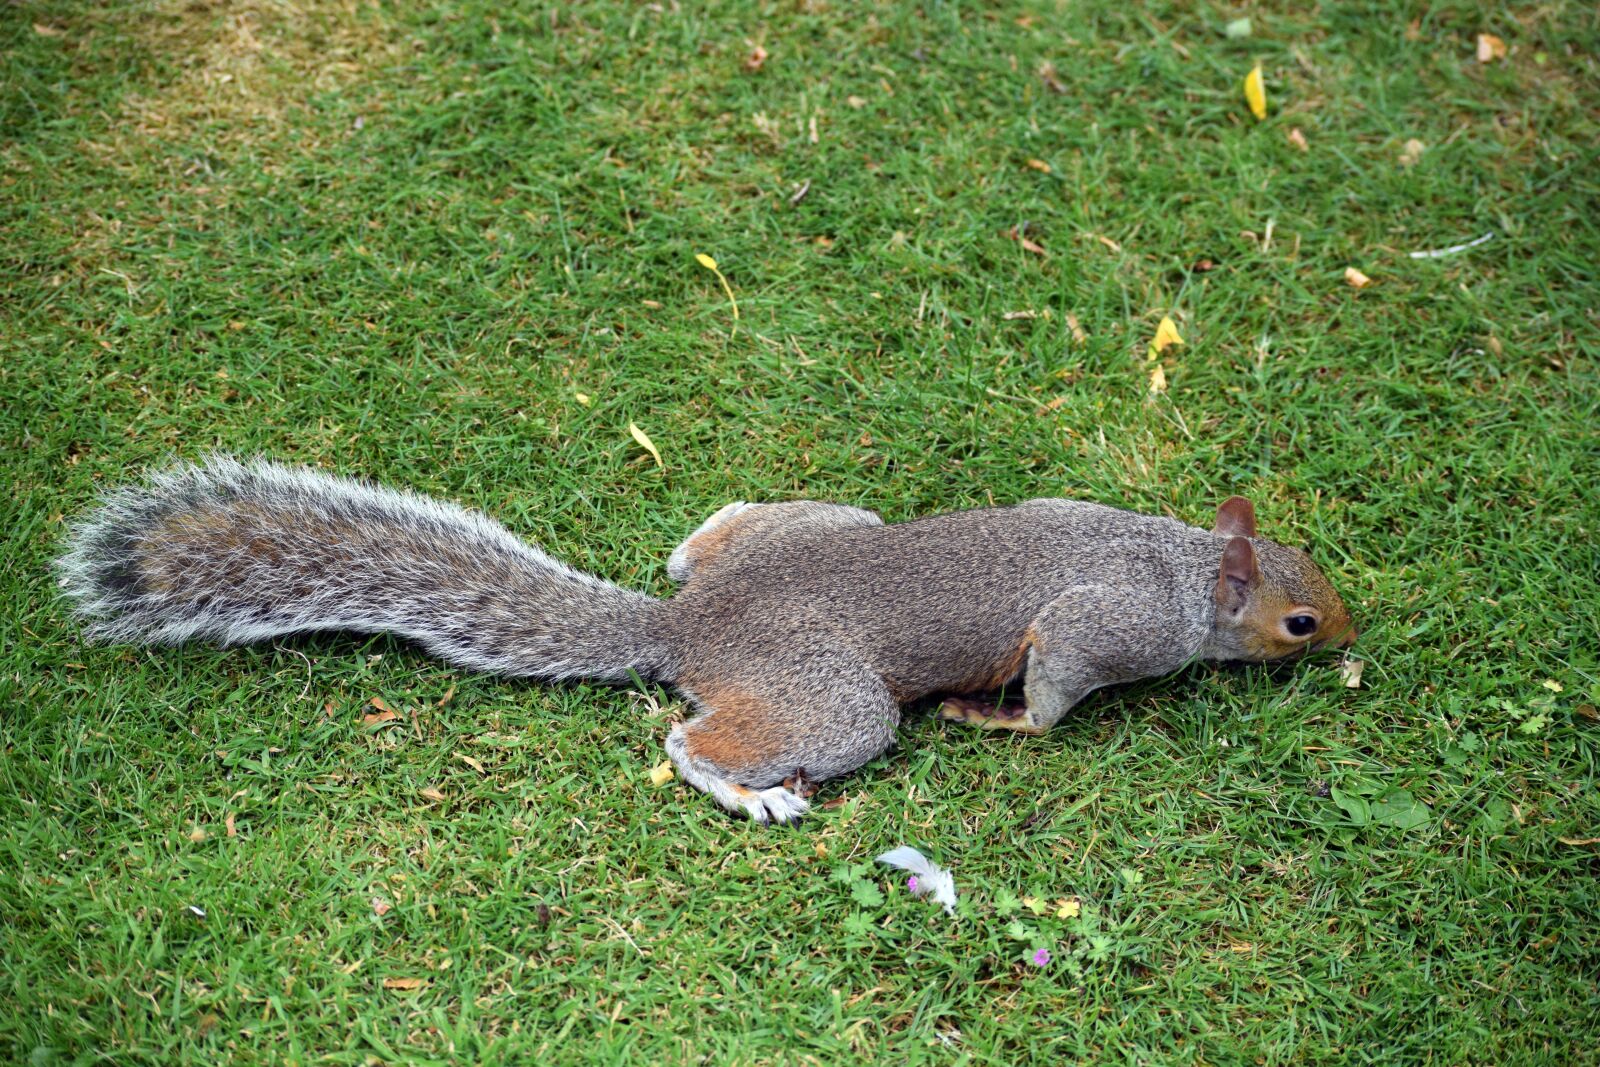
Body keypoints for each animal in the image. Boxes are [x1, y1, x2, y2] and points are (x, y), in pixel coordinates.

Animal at [56, 457, 1356, 825]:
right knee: (693, 740)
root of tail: (688, 625)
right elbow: (1054, 685)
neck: (1181, 567)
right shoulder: (1107, 625)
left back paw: (700, 541)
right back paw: (754, 792)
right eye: (1297, 617)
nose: (1348, 635)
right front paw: (1001, 717)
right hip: (833, 703)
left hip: (800, 533)